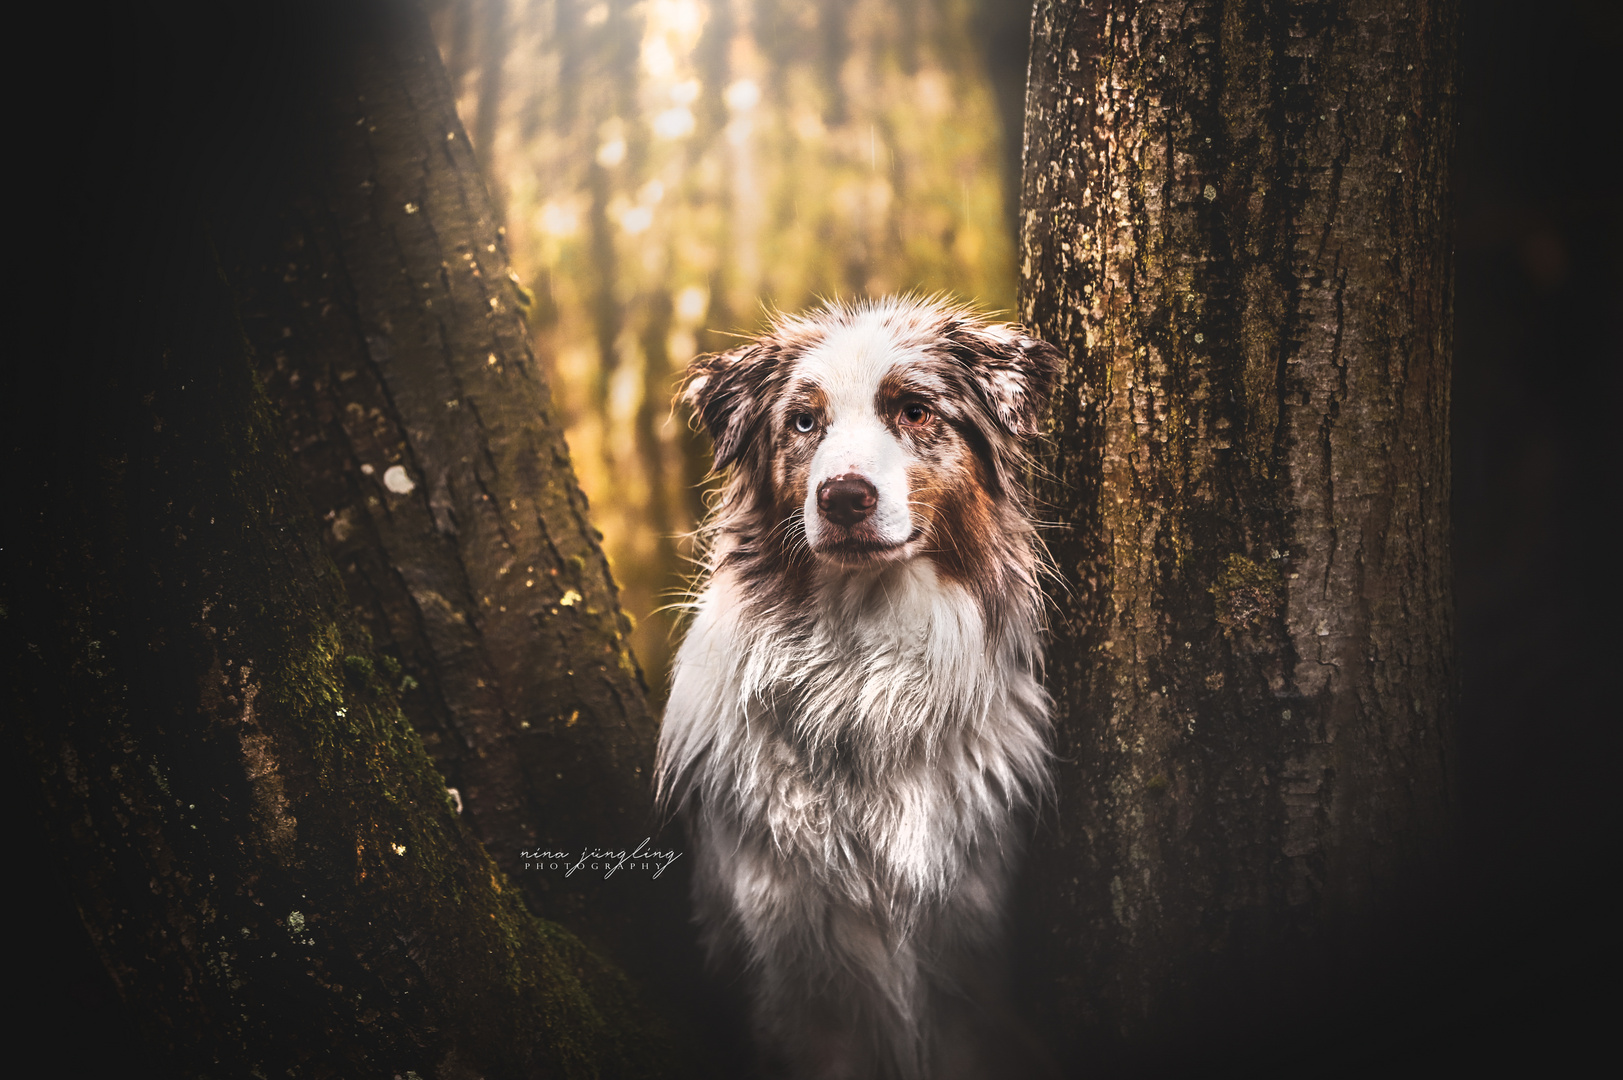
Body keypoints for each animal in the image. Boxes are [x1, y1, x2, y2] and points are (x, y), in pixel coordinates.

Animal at [658, 297, 1064, 1078]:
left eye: (913, 411)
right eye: (802, 422)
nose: (843, 497)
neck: (860, 664)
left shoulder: (970, 951)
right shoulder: (786, 965)